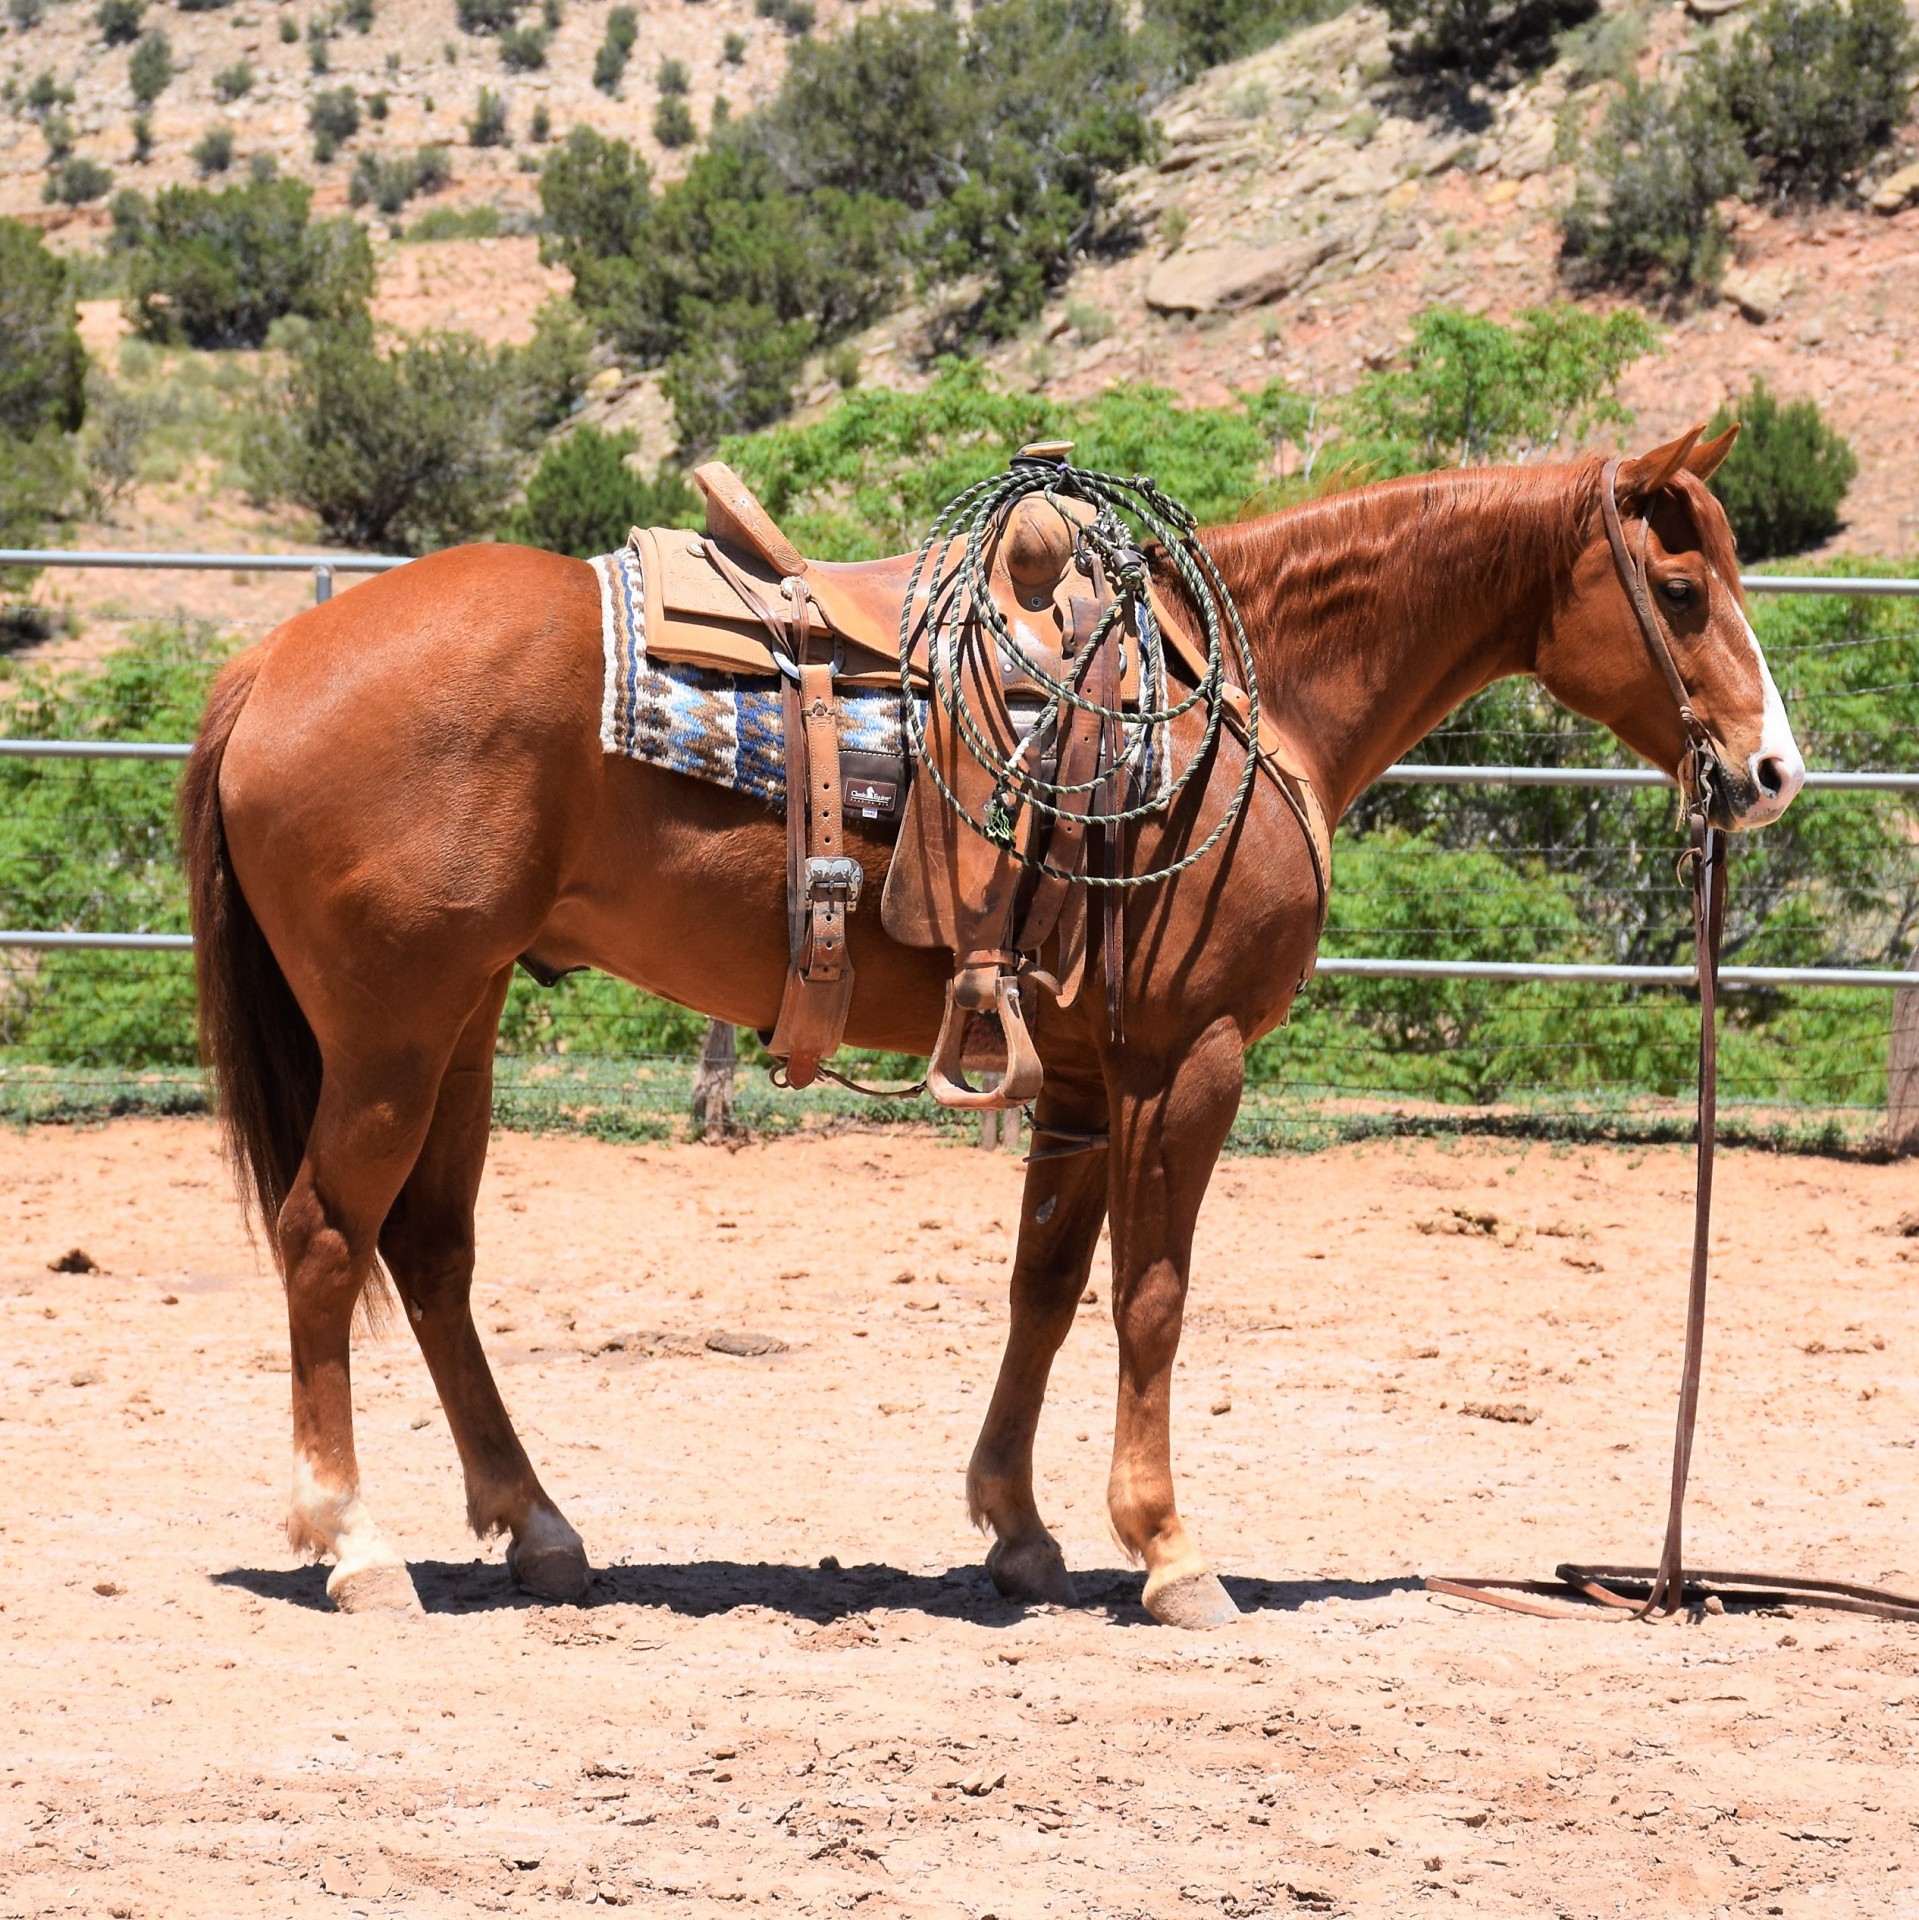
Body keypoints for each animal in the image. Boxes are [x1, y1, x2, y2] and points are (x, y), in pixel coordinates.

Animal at [176, 428, 1797, 1628]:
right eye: (1678, 583)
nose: (1770, 771)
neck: (1240, 699)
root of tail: (273, 662)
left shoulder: (1079, 1074)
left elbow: (1046, 1290)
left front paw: (1017, 1532)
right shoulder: (1188, 1060)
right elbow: (1153, 1295)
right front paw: (1167, 1550)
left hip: (462, 1019)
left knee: (429, 1254)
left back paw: (539, 1530)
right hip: (391, 1031)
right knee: (325, 1238)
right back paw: (355, 1544)